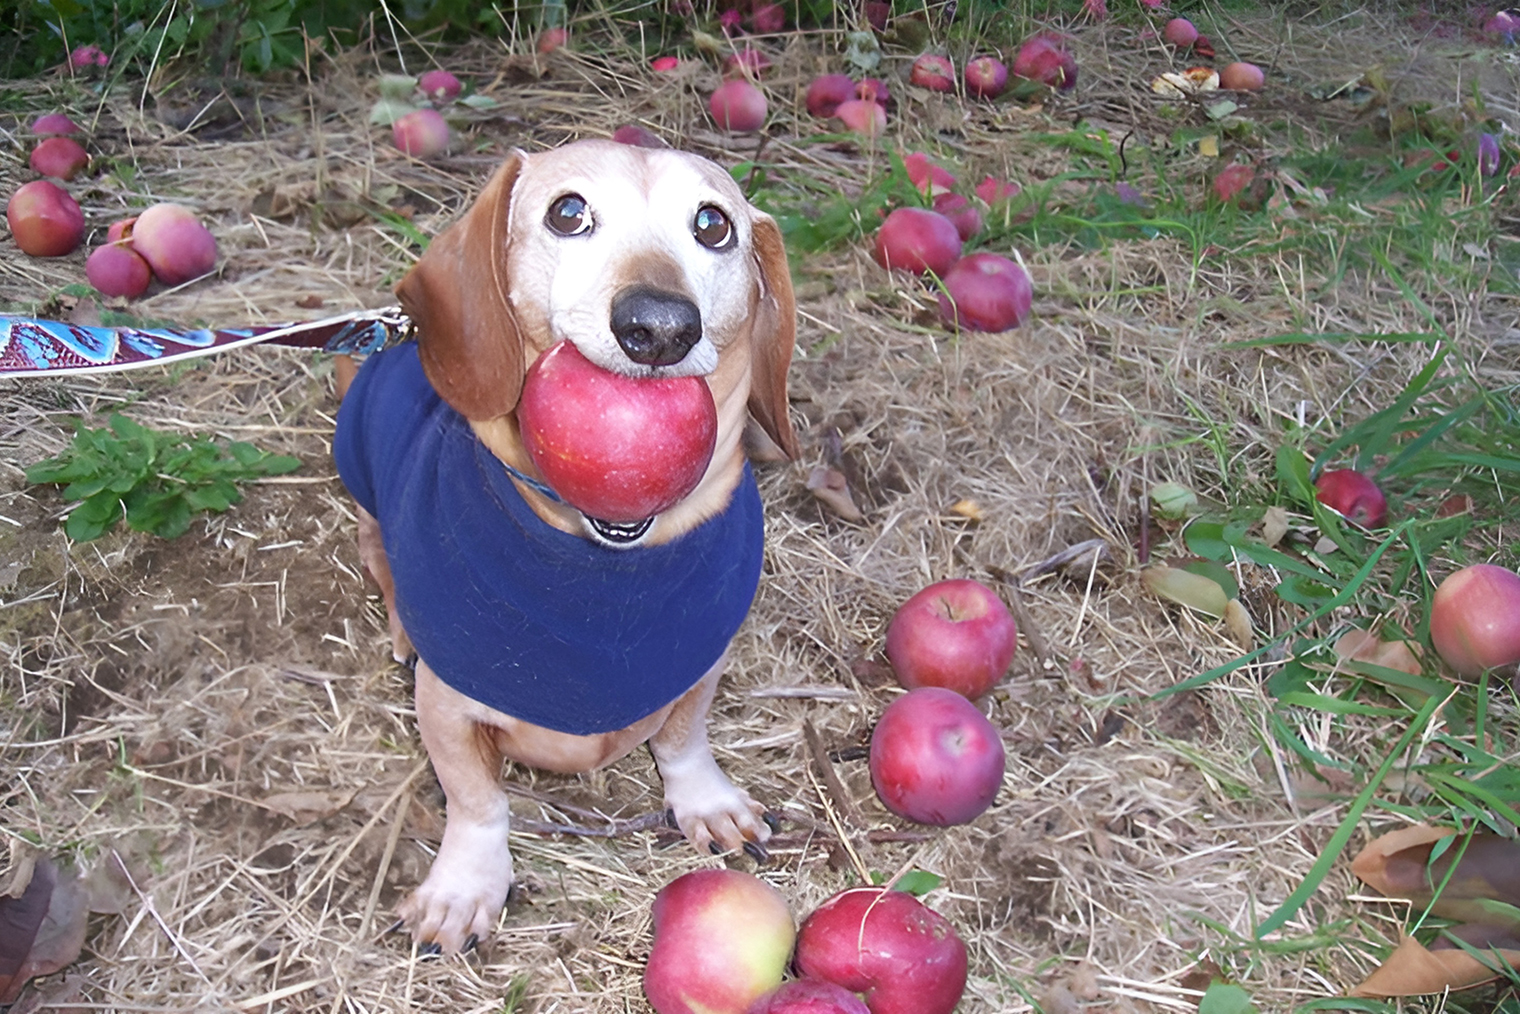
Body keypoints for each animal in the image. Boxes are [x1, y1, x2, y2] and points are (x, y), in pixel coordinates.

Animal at [334, 139, 802, 954]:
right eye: (568, 212)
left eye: (713, 225)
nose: (659, 328)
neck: (603, 564)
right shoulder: (448, 708)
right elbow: (476, 801)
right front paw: (465, 886)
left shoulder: (701, 663)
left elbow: (683, 739)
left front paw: (704, 800)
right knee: (381, 560)